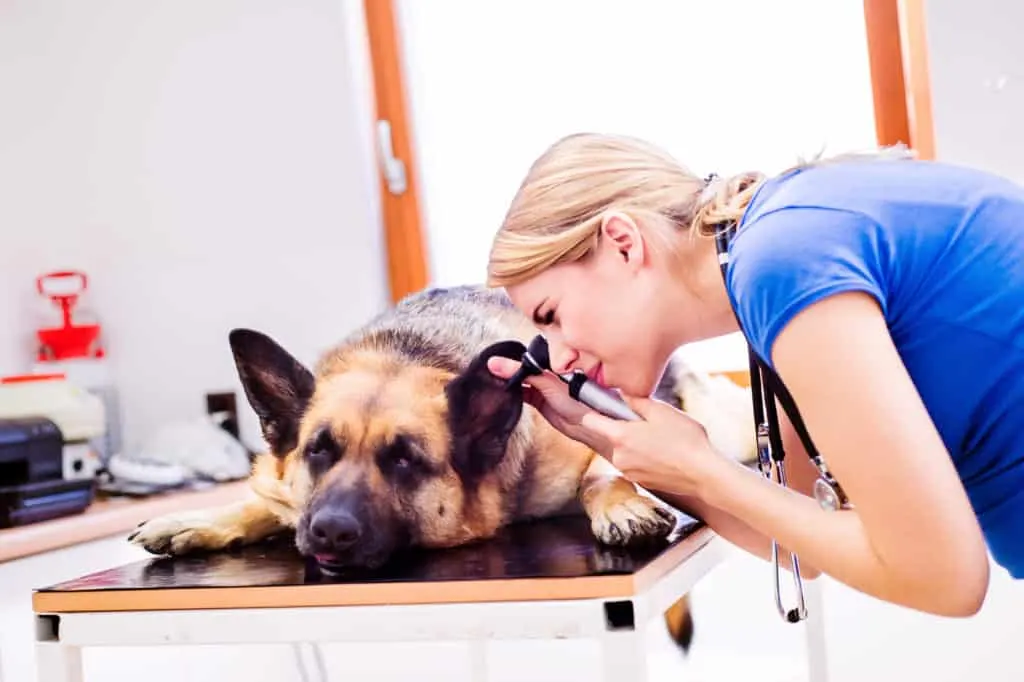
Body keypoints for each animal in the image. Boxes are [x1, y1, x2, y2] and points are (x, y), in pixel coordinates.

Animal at [128, 284, 757, 651]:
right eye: (319, 450)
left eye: (404, 459)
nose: (329, 532)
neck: (409, 351)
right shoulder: (283, 484)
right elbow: (264, 499)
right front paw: (199, 519)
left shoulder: (595, 427)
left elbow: (604, 468)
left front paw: (621, 504)